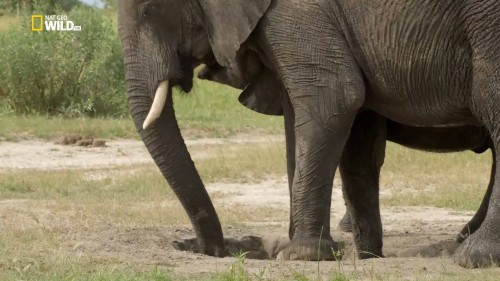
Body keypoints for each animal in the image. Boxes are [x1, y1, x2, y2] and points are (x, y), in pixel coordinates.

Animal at [118, 0, 500, 266]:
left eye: (149, 10)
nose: (212, 251)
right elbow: (347, 132)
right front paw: (364, 256)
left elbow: (335, 99)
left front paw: (301, 255)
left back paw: (472, 256)